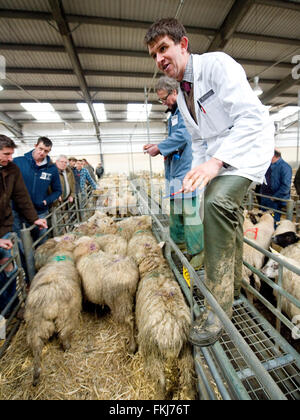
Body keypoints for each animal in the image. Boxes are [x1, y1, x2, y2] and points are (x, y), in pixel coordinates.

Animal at [24, 241, 81, 386]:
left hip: (35, 325)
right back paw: (67, 347)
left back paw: (36, 376)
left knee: (36, 347)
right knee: (64, 335)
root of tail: (49, 303)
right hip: (66, 318)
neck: (60, 255)